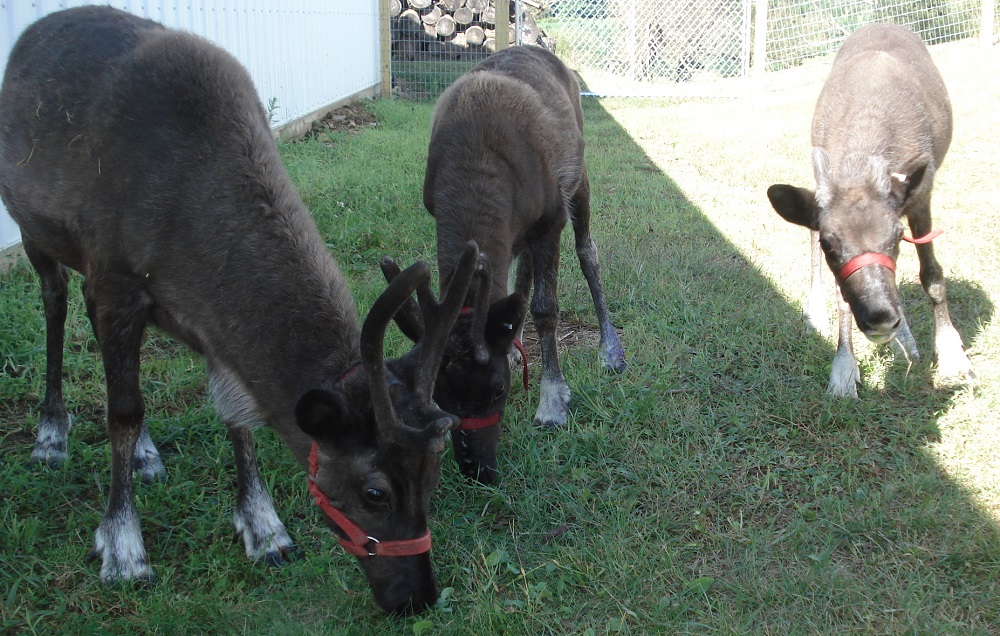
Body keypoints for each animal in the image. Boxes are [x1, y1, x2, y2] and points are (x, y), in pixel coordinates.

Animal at [0, 6, 480, 614]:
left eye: (435, 473)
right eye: (374, 491)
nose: (418, 596)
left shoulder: (207, 324)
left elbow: (236, 412)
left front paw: (264, 529)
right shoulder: (117, 280)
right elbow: (123, 411)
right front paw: (123, 548)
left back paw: (145, 455)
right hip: (35, 227)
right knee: (56, 301)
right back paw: (51, 436)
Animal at [382, 45, 626, 484]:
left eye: (499, 389)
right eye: (440, 396)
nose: (476, 468)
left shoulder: (551, 217)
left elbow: (547, 309)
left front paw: (552, 401)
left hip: (579, 177)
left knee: (588, 253)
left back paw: (610, 349)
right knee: (522, 270)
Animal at [767, 23, 973, 398]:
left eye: (897, 236)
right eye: (830, 243)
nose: (880, 318)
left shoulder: (921, 196)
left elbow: (932, 276)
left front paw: (952, 356)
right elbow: (841, 293)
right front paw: (844, 370)